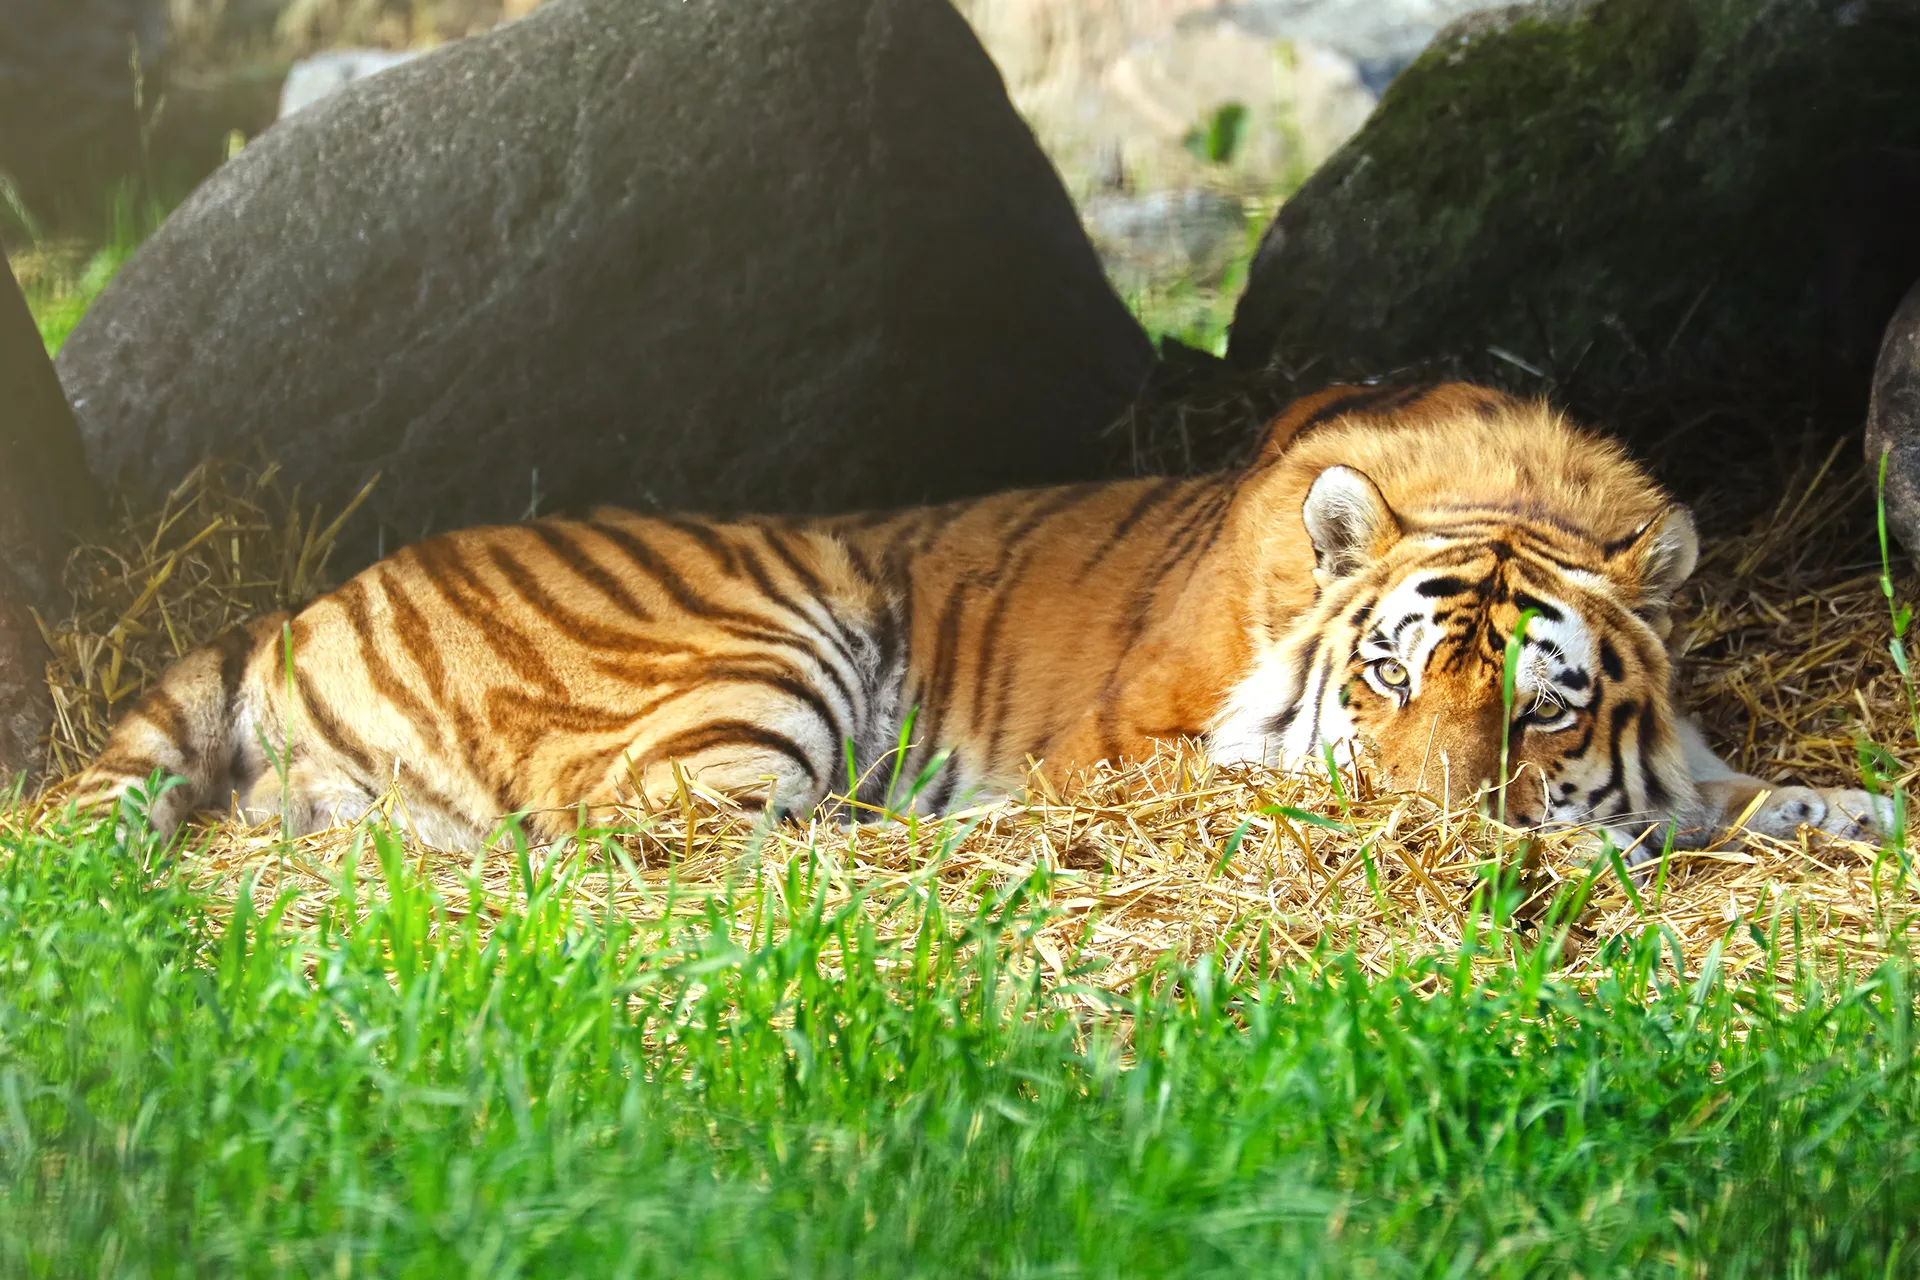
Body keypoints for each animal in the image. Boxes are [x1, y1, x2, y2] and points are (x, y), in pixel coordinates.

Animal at [71, 382, 1888, 857]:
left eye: (1547, 705)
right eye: (1382, 678)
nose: (1429, 843)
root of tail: (306, 599)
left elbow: (1739, 794)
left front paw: (1846, 814)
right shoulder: (1140, 753)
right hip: (762, 641)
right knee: (673, 827)